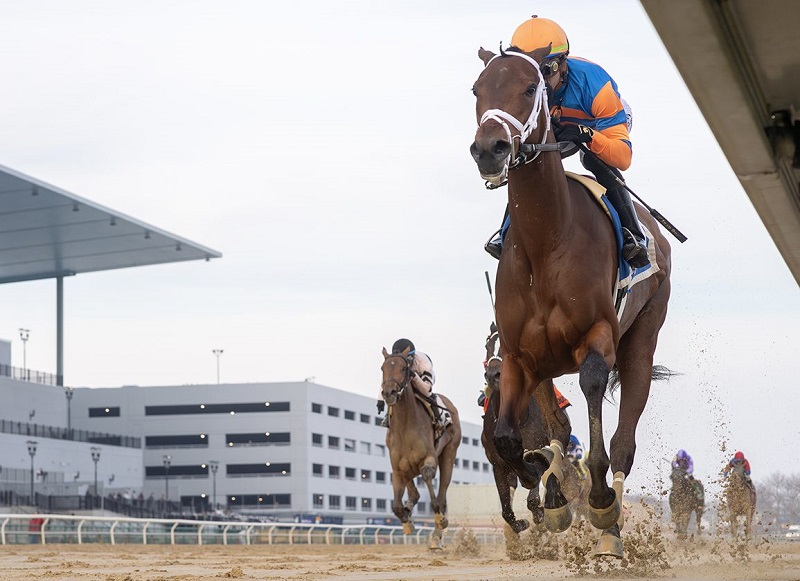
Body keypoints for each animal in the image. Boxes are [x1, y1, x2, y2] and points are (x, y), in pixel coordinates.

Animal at [382, 344, 462, 548]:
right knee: (415, 492)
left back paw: (436, 536)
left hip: (449, 453)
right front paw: (407, 520)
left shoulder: (429, 458)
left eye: (403, 368)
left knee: (442, 493)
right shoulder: (397, 468)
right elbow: (396, 506)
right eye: (382, 368)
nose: (388, 393)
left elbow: (428, 482)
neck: (405, 426)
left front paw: (440, 519)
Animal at [472, 46, 672, 556]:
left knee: (623, 440)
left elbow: (593, 388)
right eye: (477, 89)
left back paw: (610, 528)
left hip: (642, 338)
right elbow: (510, 441)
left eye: (529, 88)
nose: (489, 148)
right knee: (555, 432)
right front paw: (549, 492)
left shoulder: (596, 336)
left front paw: (597, 501)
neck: (546, 241)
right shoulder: (520, 355)